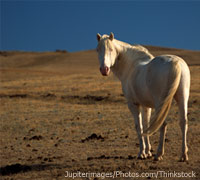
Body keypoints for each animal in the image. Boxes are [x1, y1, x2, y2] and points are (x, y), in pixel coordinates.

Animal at [96, 32, 190, 162]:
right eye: (98, 50)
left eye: (111, 49)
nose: (104, 69)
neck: (130, 66)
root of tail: (175, 62)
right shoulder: (146, 106)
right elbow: (146, 125)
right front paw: (148, 151)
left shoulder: (133, 105)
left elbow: (139, 127)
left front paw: (142, 153)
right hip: (182, 98)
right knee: (183, 122)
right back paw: (183, 155)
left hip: (161, 103)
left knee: (163, 124)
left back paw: (159, 154)